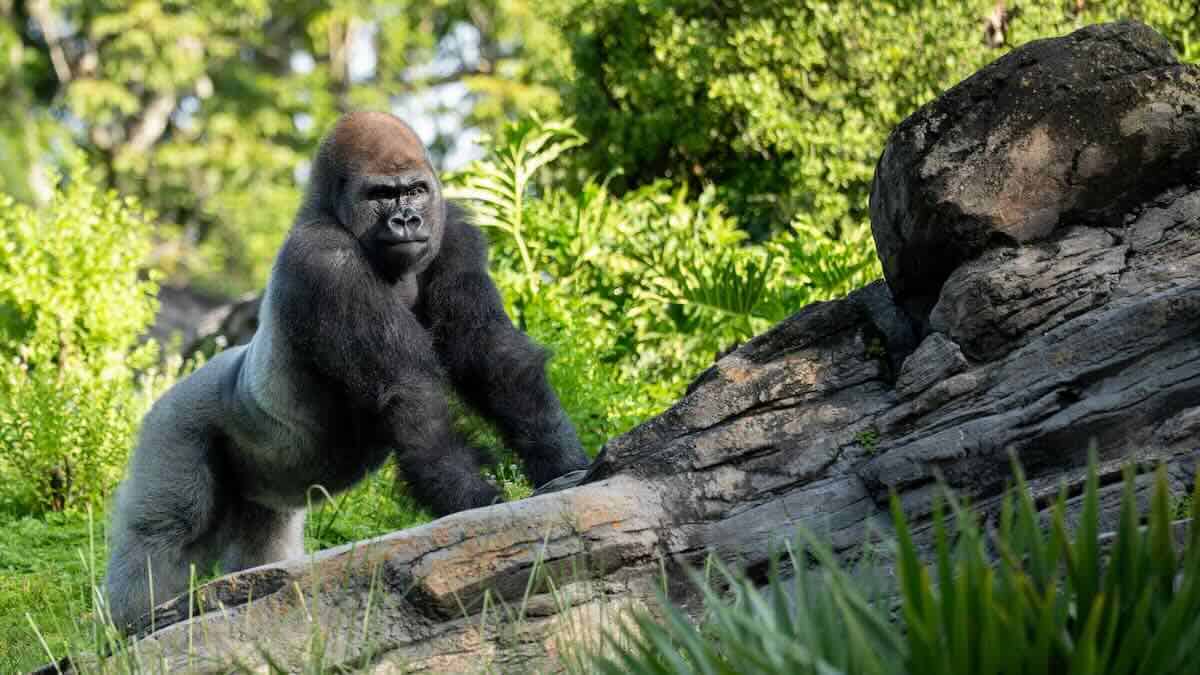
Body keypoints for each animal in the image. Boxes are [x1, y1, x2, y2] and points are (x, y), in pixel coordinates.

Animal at [103, 111, 590, 631]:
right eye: (380, 195)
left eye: (415, 190)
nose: (406, 220)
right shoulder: (325, 261)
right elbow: (410, 391)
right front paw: (475, 501)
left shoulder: (455, 235)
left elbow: (491, 353)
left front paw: (563, 462)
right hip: (173, 425)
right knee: (165, 531)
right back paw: (133, 624)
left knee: (262, 547)